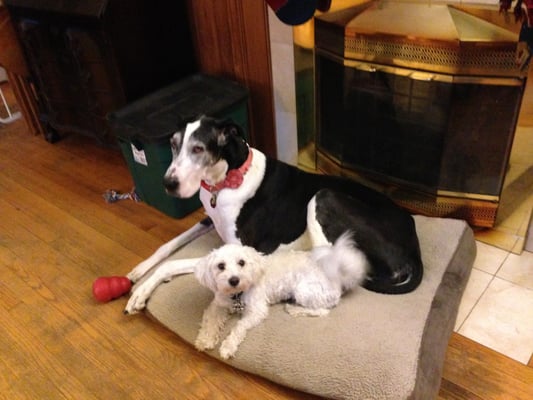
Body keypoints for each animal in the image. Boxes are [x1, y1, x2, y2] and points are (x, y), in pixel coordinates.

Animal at [122, 114, 422, 314]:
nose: (168, 184)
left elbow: (174, 263)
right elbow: (168, 245)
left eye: (198, 148)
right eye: (173, 145)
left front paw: (142, 291)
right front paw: (139, 270)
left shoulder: (244, 249)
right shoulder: (207, 219)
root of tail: (414, 243)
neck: (228, 179)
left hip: (323, 196)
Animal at [194, 231, 366, 360]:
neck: (237, 295)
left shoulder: (257, 311)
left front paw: (227, 347)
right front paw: (205, 339)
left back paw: (294, 309)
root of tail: (336, 275)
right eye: (221, 266)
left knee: (322, 311)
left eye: (241, 262)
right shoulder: (217, 305)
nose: (234, 280)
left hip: (304, 291)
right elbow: (210, 320)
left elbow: (239, 327)